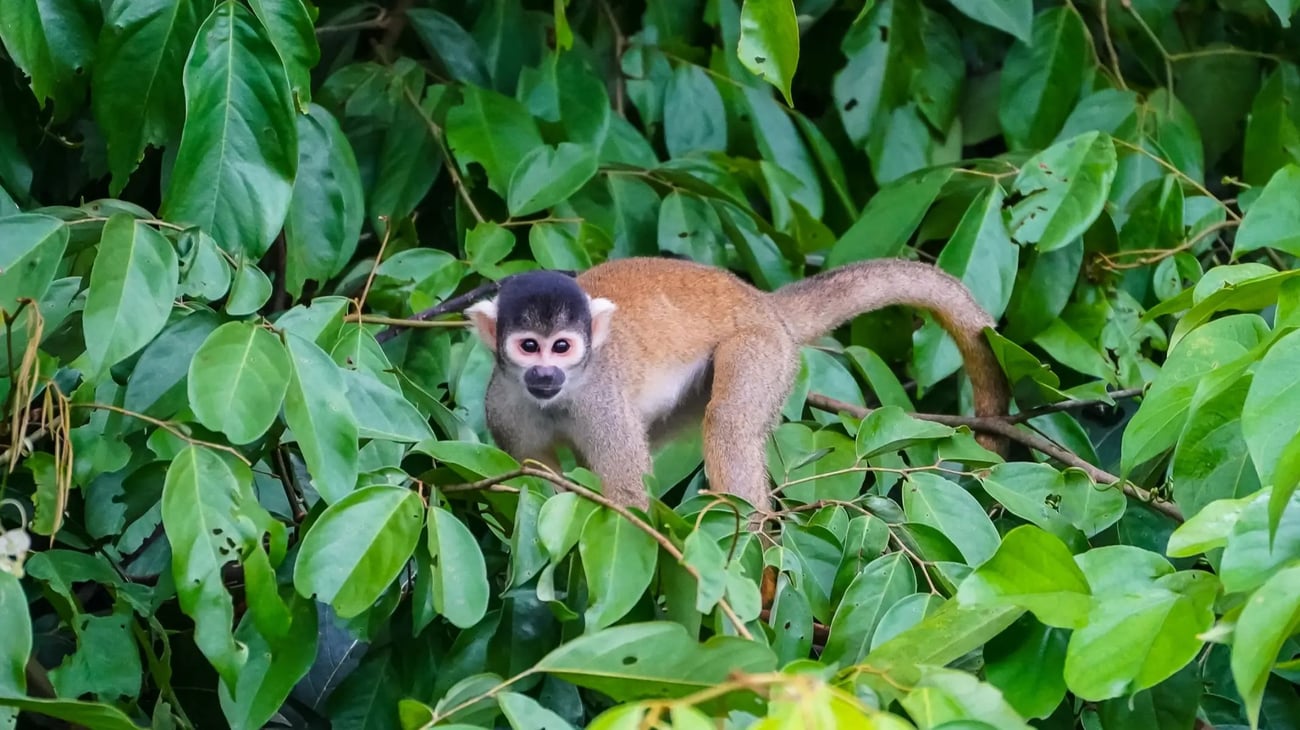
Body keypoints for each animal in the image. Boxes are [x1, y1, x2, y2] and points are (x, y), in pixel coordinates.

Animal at [463, 256, 1010, 518]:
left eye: (562, 348)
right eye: (529, 347)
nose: (545, 374)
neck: (563, 395)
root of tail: (761, 301)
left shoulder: (601, 401)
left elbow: (628, 498)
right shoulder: (502, 404)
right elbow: (534, 478)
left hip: (762, 347)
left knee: (727, 421)